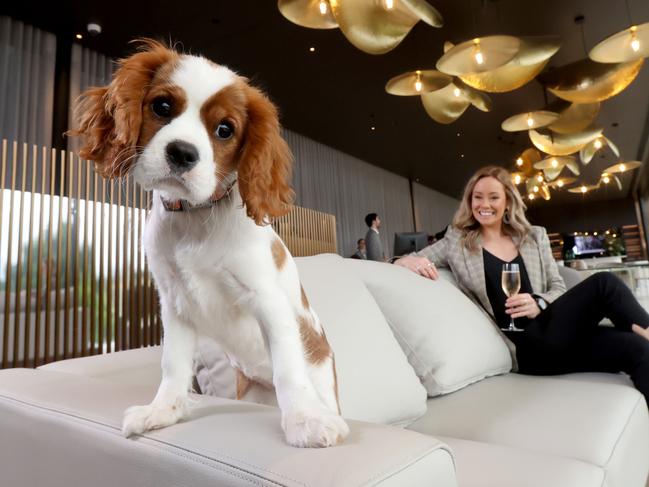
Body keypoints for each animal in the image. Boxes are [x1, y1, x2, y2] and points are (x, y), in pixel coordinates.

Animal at [69, 40, 350, 448]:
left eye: (224, 130)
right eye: (162, 106)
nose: (182, 153)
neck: (195, 216)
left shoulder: (268, 300)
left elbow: (286, 366)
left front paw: (304, 420)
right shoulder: (175, 303)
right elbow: (173, 364)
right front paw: (163, 411)